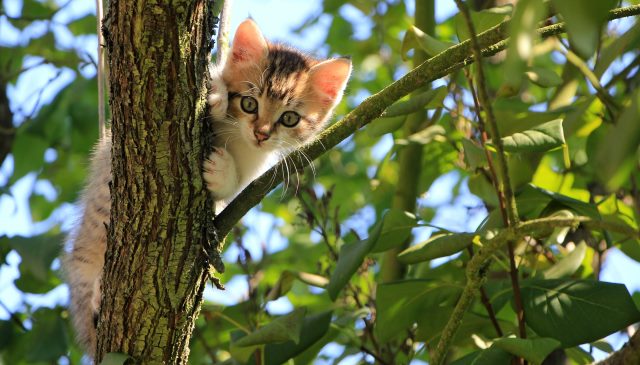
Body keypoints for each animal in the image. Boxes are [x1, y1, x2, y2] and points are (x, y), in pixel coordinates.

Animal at [63, 18, 352, 356]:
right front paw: (215, 95)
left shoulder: (253, 169)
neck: (238, 138)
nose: (262, 133)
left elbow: (233, 188)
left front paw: (222, 171)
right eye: (249, 103)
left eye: (290, 118)